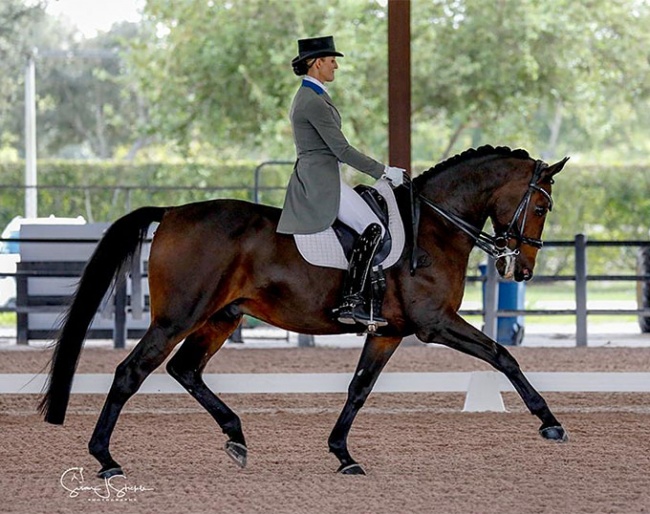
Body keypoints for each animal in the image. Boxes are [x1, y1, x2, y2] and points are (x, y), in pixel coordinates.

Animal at [39, 144, 568, 476]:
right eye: (541, 206)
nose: (521, 269)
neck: (436, 225)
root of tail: (171, 212)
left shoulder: (387, 331)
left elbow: (359, 389)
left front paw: (343, 454)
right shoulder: (434, 324)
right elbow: (503, 356)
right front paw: (550, 422)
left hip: (223, 316)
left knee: (185, 369)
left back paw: (236, 436)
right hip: (178, 317)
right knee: (132, 371)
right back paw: (105, 459)